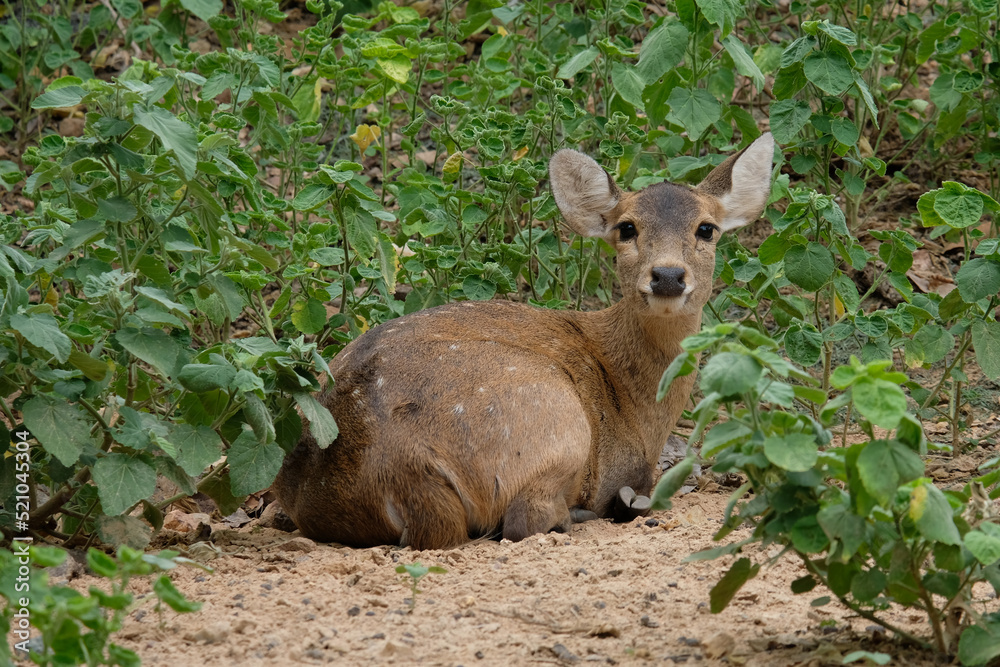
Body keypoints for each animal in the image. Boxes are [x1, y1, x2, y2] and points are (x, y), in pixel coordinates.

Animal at [272, 133, 775, 550]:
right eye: (627, 227)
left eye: (706, 228)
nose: (668, 275)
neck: (640, 406)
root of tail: (400, 467)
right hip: (553, 418)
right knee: (525, 519)